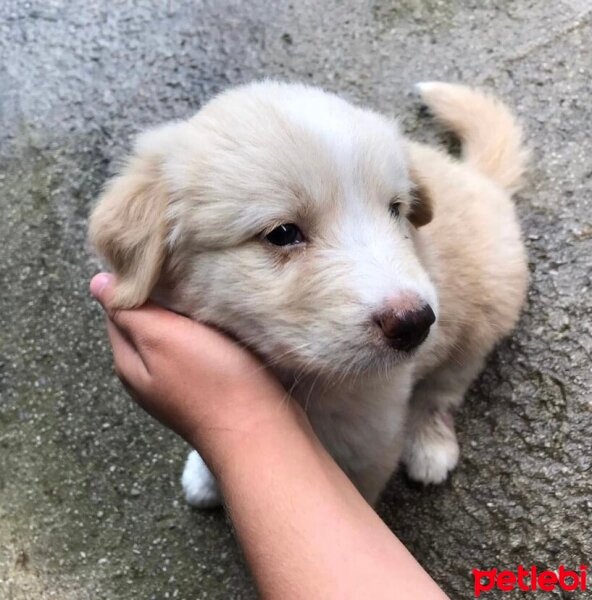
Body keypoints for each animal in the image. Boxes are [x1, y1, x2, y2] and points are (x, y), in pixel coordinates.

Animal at [91, 81, 528, 506]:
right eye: (283, 233)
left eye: (395, 210)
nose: (415, 324)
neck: (301, 383)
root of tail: (478, 178)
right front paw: (205, 475)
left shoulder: (371, 446)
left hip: (482, 318)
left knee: (444, 389)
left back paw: (429, 446)